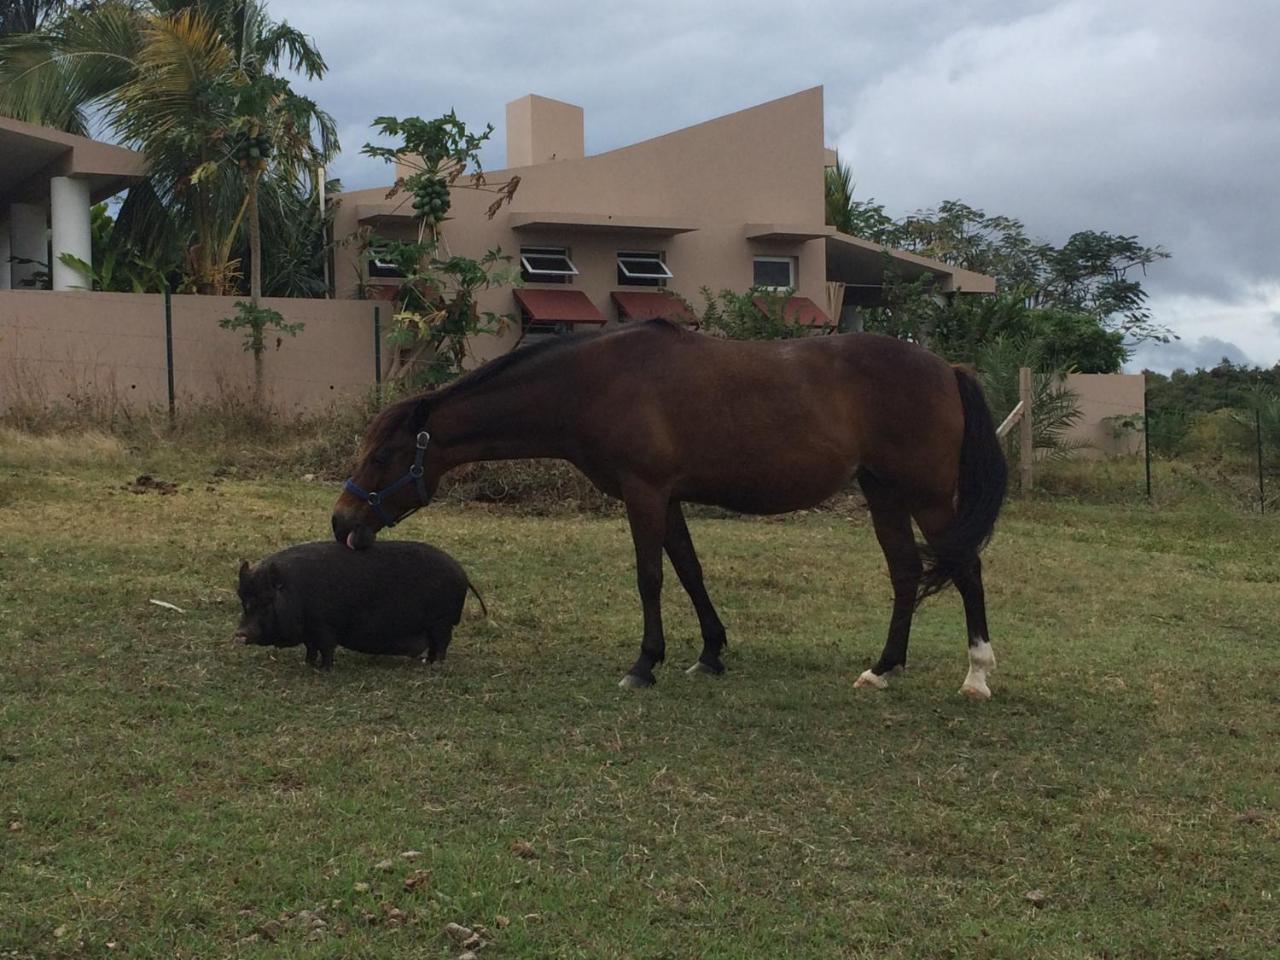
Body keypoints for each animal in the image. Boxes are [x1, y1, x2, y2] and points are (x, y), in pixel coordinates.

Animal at [235, 542, 483, 670]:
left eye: (267, 599)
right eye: (244, 601)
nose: (240, 633)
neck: (295, 593)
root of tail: (463, 574)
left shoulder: (324, 626)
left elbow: (326, 648)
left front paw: (325, 670)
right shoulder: (310, 632)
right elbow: (311, 649)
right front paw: (307, 665)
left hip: (442, 621)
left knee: (442, 644)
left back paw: (435, 666)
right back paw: (426, 662)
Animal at [332, 321, 1008, 701]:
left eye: (385, 455)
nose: (342, 523)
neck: (595, 382)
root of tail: (946, 367)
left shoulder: (646, 492)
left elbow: (651, 577)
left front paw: (643, 664)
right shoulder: (670, 497)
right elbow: (689, 570)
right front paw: (710, 654)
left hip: (924, 495)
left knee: (967, 569)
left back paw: (977, 676)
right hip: (883, 492)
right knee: (905, 572)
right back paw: (883, 669)